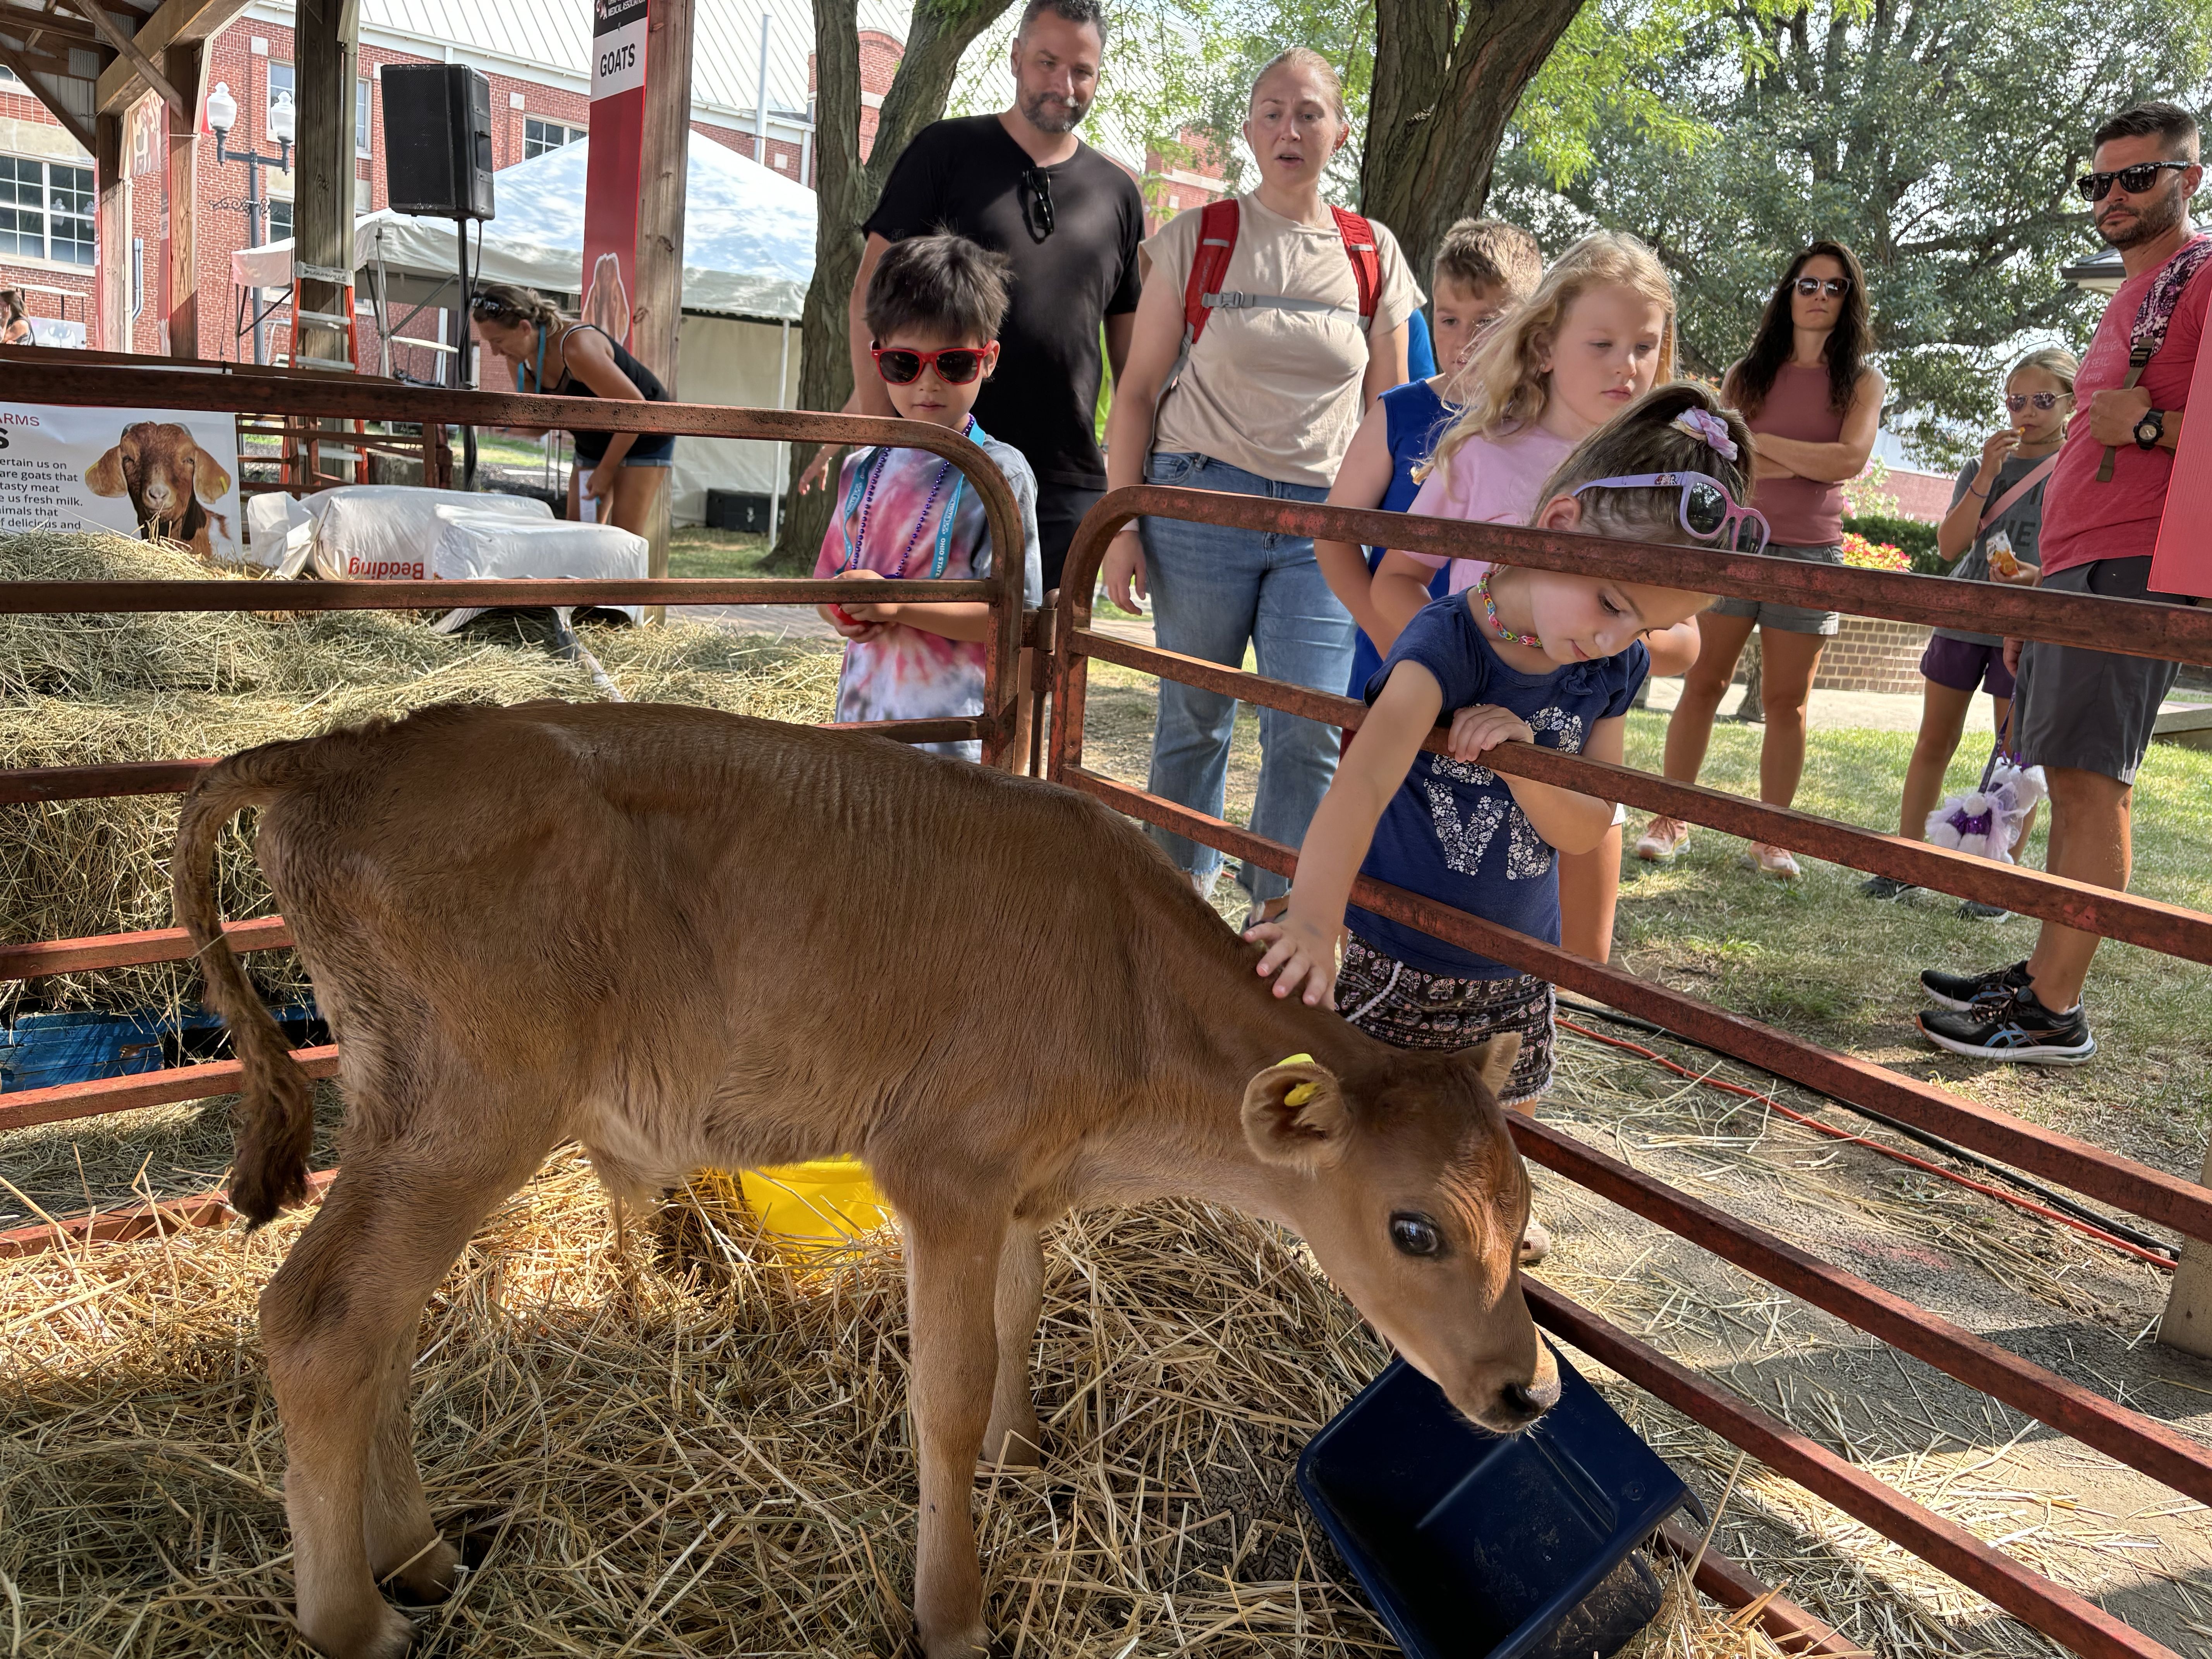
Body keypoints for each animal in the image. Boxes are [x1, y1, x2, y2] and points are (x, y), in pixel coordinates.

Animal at [171, 700, 1558, 1659]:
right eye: (1413, 1228)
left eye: (1525, 1215)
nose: (1527, 1390)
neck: (1123, 985)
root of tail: (346, 750)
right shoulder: (945, 1172)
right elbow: (941, 1394)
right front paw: (954, 1610)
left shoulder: (1017, 1188)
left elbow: (1017, 1321)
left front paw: (1022, 1456)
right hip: (465, 1115)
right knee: (320, 1321)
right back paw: (355, 1618)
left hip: (408, 1119)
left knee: (379, 1327)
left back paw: (414, 1552)